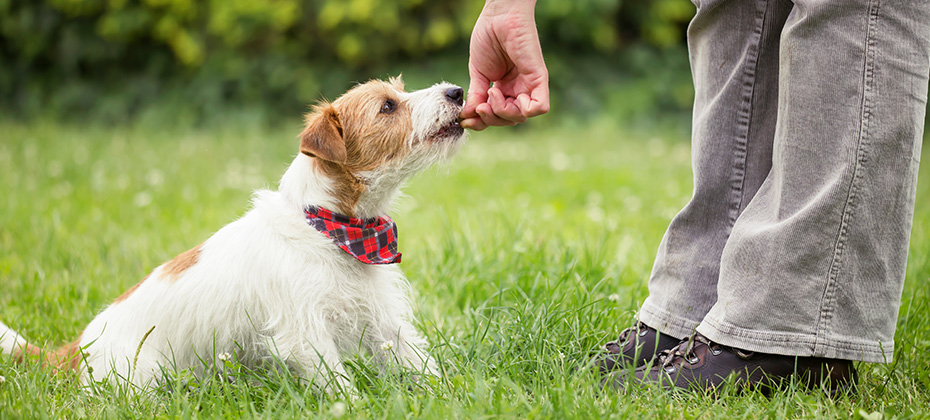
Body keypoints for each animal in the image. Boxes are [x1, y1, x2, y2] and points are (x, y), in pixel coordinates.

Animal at [0, 76, 464, 394]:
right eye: (388, 106)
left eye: (398, 92)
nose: (457, 91)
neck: (333, 227)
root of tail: (77, 348)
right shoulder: (304, 332)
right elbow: (337, 383)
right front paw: (354, 407)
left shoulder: (383, 317)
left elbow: (417, 359)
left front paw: (450, 393)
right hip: (141, 378)